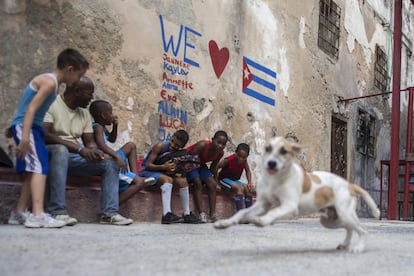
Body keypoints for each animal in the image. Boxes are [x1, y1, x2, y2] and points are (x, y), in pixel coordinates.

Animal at [215, 136, 380, 252]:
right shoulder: (262, 204)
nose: (271, 163)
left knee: (363, 231)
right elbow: (242, 211)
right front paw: (225, 223)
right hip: (330, 221)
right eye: (267, 148)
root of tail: (349, 185)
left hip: (344, 214)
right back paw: (345, 244)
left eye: (284, 151)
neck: (276, 179)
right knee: (350, 228)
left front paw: (262, 221)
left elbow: (273, 212)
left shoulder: (289, 205)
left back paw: (358, 247)